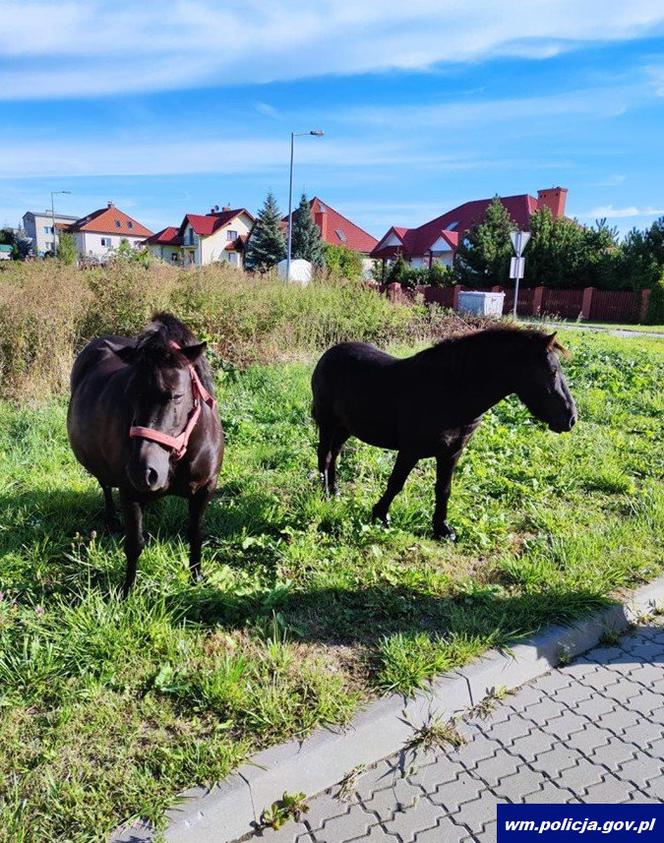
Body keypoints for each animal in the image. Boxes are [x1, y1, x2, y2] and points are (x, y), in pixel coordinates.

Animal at [67, 314, 223, 596]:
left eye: (177, 395)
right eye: (129, 393)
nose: (144, 472)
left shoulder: (205, 488)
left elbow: (195, 534)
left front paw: (196, 578)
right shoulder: (130, 494)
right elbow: (134, 544)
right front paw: (128, 590)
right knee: (105, 484)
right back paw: (111, 520)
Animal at [312, 326, 576, 536]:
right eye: (552, 371)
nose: (571, 418)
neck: (450, 392)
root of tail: (329, 354)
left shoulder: (451, 453)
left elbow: (443, 489)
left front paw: (442, 529)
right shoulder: (410, 451)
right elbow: (396, 483)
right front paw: (380, 515)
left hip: (345, 427)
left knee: (335, 455)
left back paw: (335, 492)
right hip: (328, 423)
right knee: (325, 456)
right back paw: (324, 494)